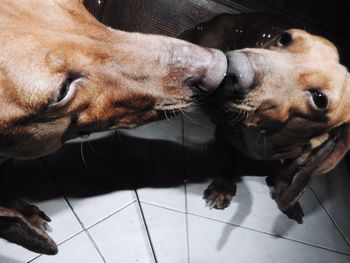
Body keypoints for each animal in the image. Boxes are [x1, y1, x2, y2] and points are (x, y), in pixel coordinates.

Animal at [194, 13, 350, 225]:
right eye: (285, 38)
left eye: (320, 99)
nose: (233, 65)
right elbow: (231, 158)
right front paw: (222, 187)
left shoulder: (304, 152)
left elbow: (288, 171)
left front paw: (283, 191)